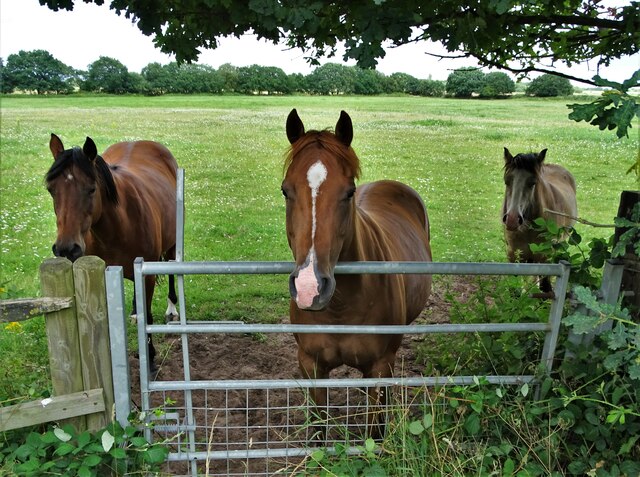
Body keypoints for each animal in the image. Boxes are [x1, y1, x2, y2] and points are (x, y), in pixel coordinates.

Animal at [46, 133, 179, 368]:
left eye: (91, 189)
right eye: (51, 190)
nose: (66, 248)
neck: (119, 226)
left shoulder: (148, 276)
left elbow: (148, 317)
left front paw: (149, 356)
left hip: (171, 246)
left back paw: (172, 308)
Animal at [282, 109, 432, 436]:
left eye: (348, 192)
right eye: (285, 190)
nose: (310, 287)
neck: (341, 307)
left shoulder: (380, 366)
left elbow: (376, 429)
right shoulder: (311, 366)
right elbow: (319, 429)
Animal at [502, 148, 576, 290]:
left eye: (533, 183)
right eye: (506, 181)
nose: (512, 220)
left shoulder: (545, 257)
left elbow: (545, 286)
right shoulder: (514, 255)